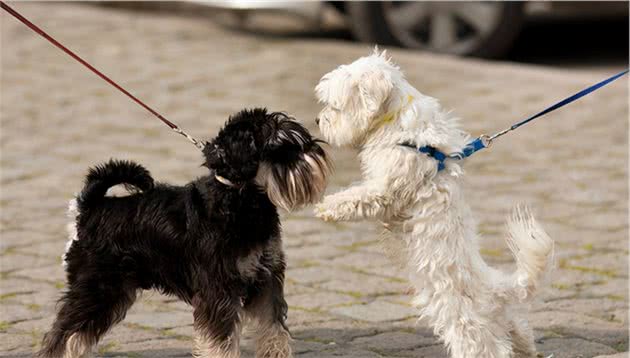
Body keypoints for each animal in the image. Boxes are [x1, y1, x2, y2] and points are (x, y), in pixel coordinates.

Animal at [39, 109, 334, 358]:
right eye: (280, 147)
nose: (316, 151)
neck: (239, 199)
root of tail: (89, 208)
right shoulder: (219, 289)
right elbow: (221, 340)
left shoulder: (267, 278)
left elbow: (273, 328)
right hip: (97, 288)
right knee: (62, 334)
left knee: (77, 335)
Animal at [314, 51, 552, 358]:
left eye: (336, 106)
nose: (317, 120)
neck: (396, 124)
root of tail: (494, 287)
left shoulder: (387, 188)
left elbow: (358, 197)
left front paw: (327, 206)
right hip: (505, 320)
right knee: (518, 329)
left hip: (463, 321)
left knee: (485, 347)